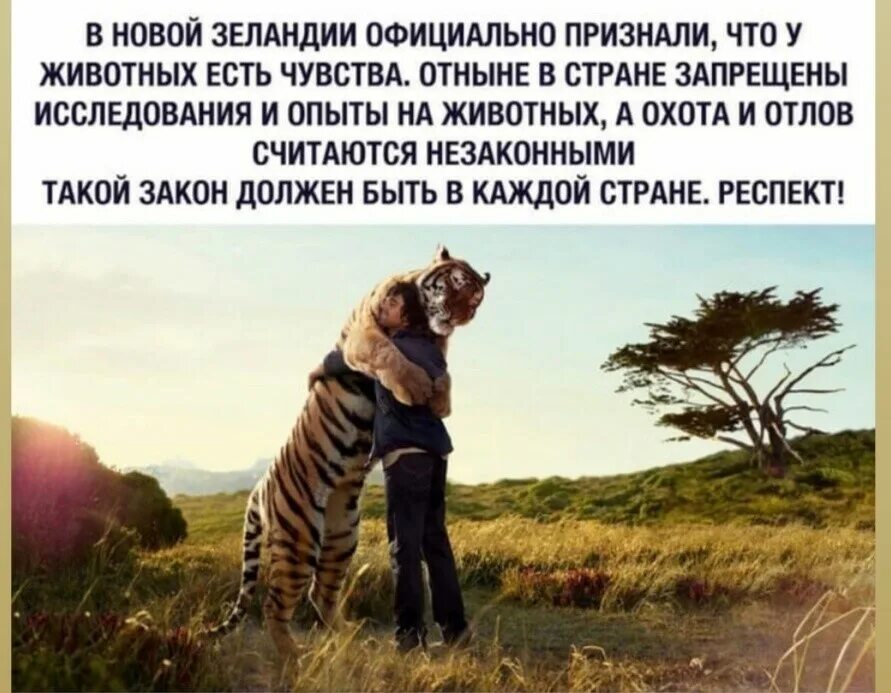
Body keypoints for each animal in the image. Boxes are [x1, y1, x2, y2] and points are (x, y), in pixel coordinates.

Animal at [209, 245, 489, 659]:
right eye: (456, 284)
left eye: (475, 299)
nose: (463, 315)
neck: (422, 322)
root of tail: (258, 488)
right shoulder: (364, 335)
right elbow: (389, 354)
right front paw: (416, 388)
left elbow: (445, 373)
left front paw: (439, 399)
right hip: (300, 541)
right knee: (275, 604)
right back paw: (296, 654)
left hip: (341, 537)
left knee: (320, 594)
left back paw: (349, 640)